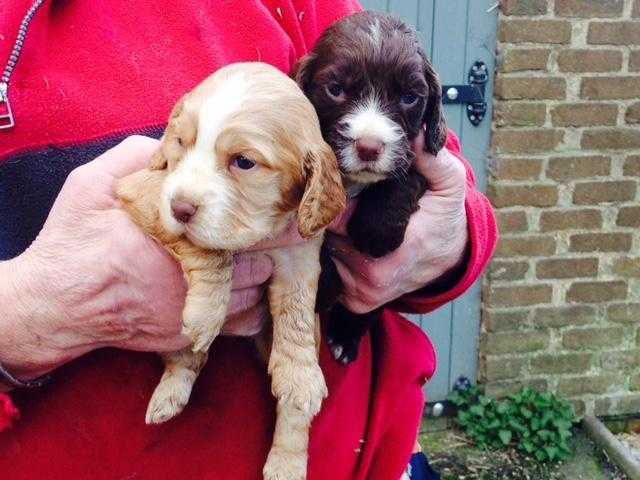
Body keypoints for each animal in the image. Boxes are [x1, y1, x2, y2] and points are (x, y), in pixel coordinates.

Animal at [115, 62, 344, 480]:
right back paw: (169, 395)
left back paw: (286, 462)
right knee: (187, 358)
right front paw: (207, 310)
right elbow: (209, 250)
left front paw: (300, 374)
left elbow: (298, 312)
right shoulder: (144, 188)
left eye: (244, 162)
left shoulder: (299, 252)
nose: (181, 207)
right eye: (180, 142)